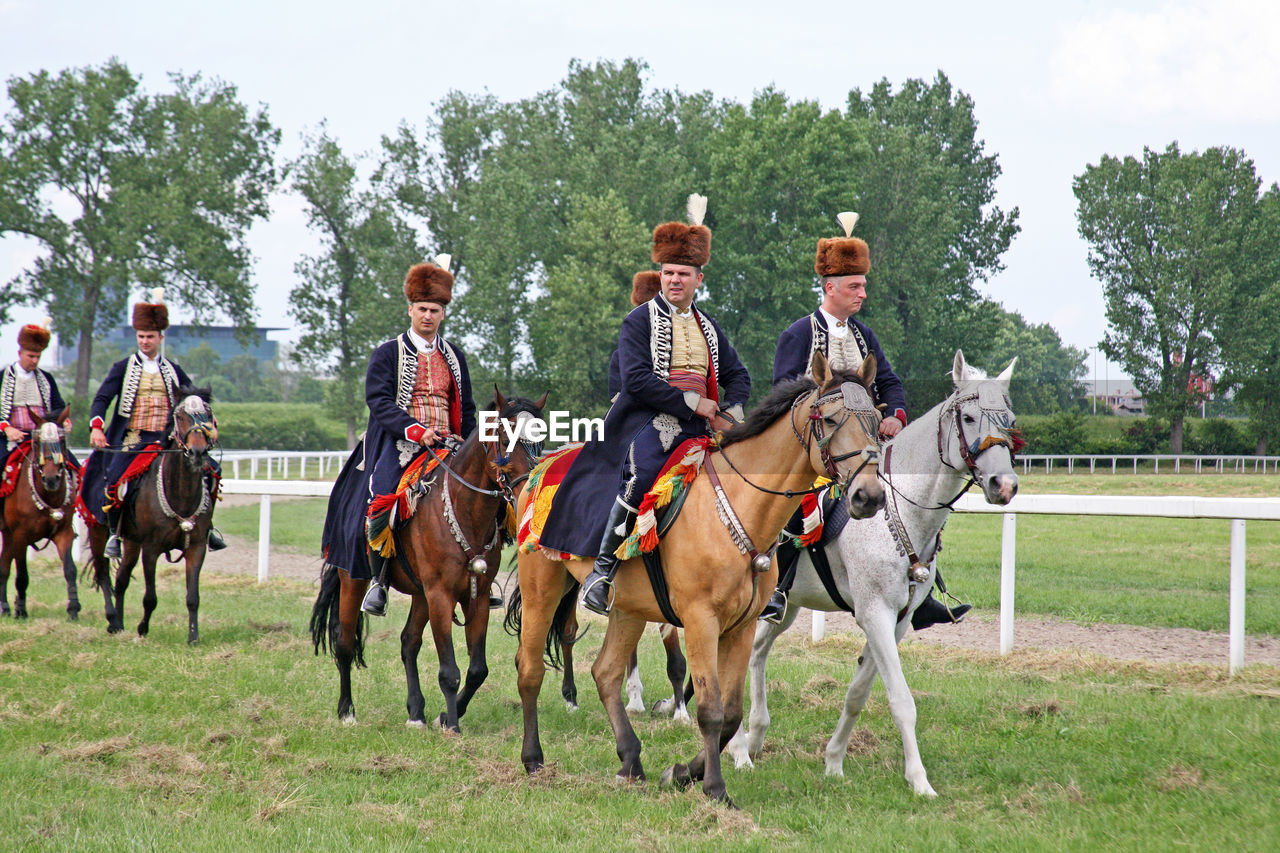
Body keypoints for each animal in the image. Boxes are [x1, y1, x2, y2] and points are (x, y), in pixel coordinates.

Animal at [0, 407, 80, 617]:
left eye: (62, 441)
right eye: (37, 442)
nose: (51, 479)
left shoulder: (64, 533)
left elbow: (70, 569)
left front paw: (73, 608)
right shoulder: (21, 536)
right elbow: (22, 575)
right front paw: (21, 610)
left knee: (3, 566)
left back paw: (4, 607)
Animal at [87, 381, 220, 640]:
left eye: (207, 414)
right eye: (180, 416)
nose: (198, 452)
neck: (180, 493)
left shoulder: (197, 547)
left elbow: (193, 597)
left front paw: (193, 636)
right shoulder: (151, 548)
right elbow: (150, 597)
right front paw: (142, 629)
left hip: (131, 542)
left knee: (122, 579)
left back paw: (119, 622)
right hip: (98, 531)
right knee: (104, 574)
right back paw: (112, 620)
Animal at [314, 391, 550, 732]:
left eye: (540, 441)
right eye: (505, 437)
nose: (526, 491)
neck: (464, 511)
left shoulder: (475, 597)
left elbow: (477, 669)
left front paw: (447, 715)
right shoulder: (441, 595)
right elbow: (449, 671)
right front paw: (452, 726)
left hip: (420, 594)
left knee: (408, 642)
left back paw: (416, 712)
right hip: (354, 579)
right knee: (344, 643)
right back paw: (346, 710)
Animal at [514, 348, 885, 799]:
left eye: (874, 419)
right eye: (829, 420)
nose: (869, 496)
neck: (739, 505)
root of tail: (539, 468)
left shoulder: (741, 627)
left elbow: (732, 712)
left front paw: (682, 773)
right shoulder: (700, 621)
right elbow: (710, 709)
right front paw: (714, 788)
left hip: (628, 608)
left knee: (605, 673)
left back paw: (630, 760)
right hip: (542, 589)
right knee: (530, 669)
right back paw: (533, 759)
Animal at [732, 348, 1018, 794]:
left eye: (1009, 420)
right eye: (969, 418)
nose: (1003, 485)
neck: (903, 512)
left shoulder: (897, 621)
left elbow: (858, 693)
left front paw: (834, 762)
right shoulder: (875, 614)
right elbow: (901, 700)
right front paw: (919, 781)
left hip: (787, 605)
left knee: (757, 651)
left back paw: (756, 735)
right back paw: (731, 744)